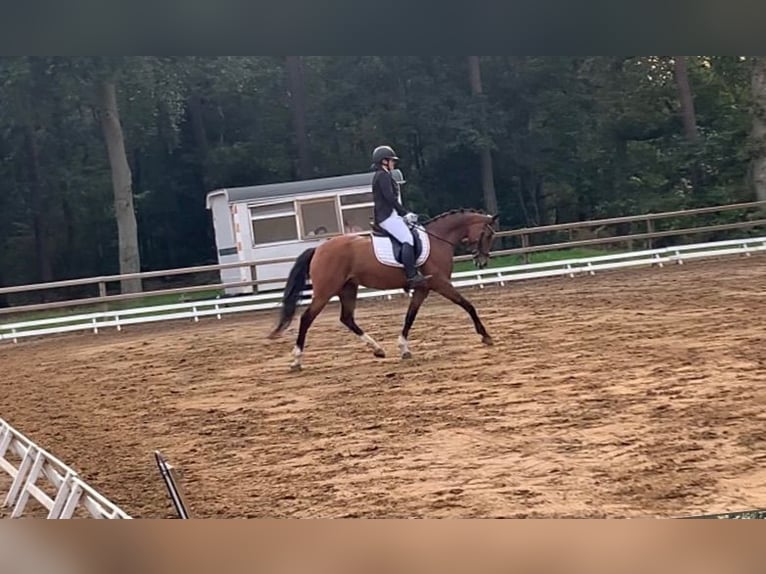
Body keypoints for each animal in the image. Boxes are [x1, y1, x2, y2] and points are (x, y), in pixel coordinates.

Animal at [267, 209, 500, 371]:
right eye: (488, 235)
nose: (482, 262)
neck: (438, 239)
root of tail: (319, 248)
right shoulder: (440, 283)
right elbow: (467, 305)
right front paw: (486, 336)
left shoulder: (423, 288)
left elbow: (410, 316)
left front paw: (404, 349)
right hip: (326, 291)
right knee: (307, 318)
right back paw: (296, 360)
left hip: (348, 288)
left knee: (347, 318)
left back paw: (378, 349)